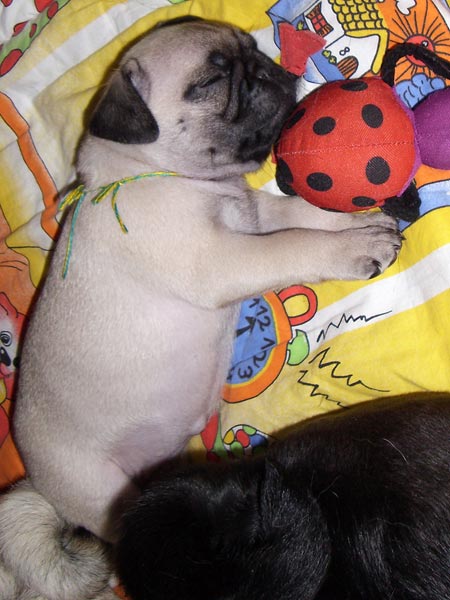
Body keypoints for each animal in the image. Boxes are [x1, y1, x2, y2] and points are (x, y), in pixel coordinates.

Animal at [0, 16, 401, 599]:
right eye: (209, 83)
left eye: (252, 50)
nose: (269, 69)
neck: (165, 174)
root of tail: (40, 485)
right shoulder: (223, 259)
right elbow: (295, 245)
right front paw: (354, 247)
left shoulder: (254, 214)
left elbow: (300, 214)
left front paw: (356, 222)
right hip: (102, 489)